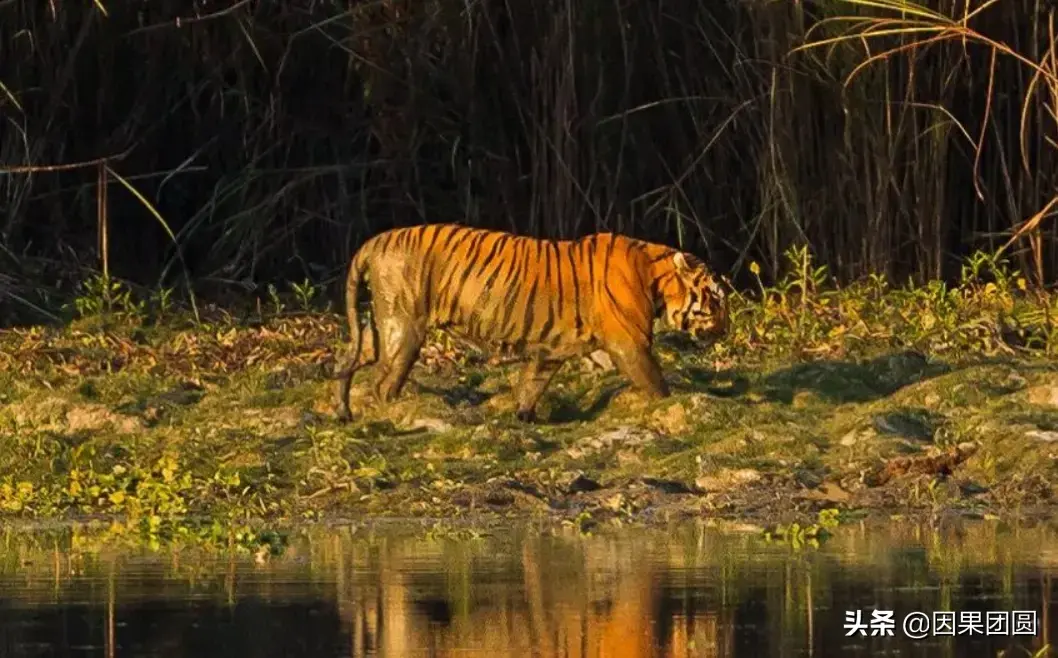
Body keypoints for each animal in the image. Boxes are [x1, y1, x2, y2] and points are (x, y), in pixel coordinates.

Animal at [330, 224, 727, 425]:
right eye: (716, 299)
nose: (725, 329)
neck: (655, 275)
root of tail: (373, 242)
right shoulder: (630, 343)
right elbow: (656, 382)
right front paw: (673, 402)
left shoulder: (550, 351)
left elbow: (531, 385)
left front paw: (523, 417)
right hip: (404, 327)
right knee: (383, 382)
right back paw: (391, 414)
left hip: (381, 327)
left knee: (348, 361)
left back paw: (344, 412)